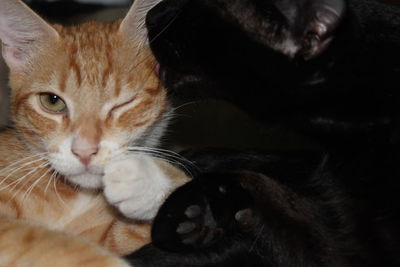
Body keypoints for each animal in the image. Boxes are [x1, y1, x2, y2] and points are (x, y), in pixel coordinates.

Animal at [0, 0, 188, 266]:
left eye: (123, 104)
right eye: (52, 101)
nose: (84, 151)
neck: (74, 195)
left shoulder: (107, 237)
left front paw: (149, 181)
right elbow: (38, 238)